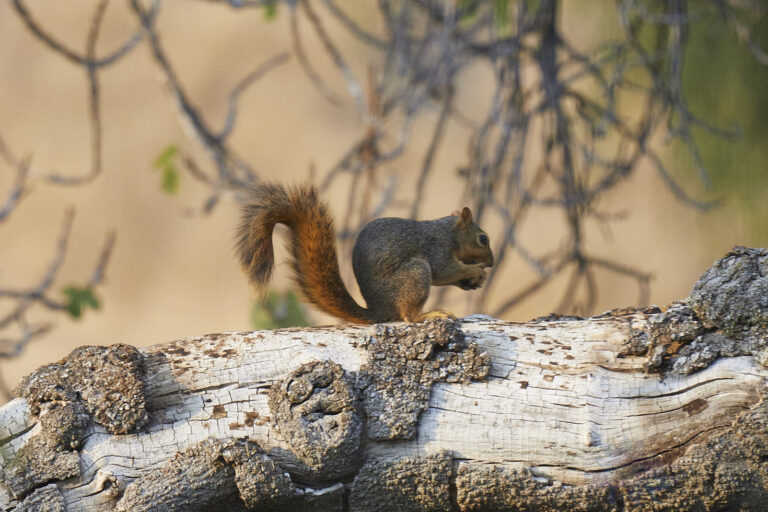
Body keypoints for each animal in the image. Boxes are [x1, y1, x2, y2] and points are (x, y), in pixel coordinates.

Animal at [236, 182, 493, 324]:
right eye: (483, 238)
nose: (491, 262)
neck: (448, 231)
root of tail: (380, 311)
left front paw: (472, 281)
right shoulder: (436, 246)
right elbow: (445, 269)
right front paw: (475, 271)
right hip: (415, 273)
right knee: (409, 317)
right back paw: (429, 315)